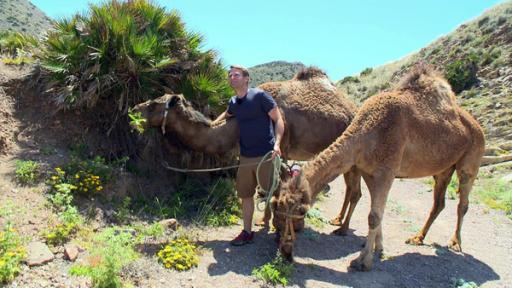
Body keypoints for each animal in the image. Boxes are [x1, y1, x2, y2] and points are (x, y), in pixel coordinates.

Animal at [133, 67, 364, 230]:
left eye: (154, 103)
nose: (134, 109)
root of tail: (354, 110)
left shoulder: (279, 150)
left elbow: (273, 187)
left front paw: (266, 222)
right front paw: (265, 221)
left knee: (356, 192)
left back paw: (343, 229)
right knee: (350, 188)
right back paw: (337, 220)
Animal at [272, 64, 484, 272]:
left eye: (302, 211)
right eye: (276, 207)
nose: (285, 250)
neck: (366, 132)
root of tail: (478, 127)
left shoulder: (386, 171)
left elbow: (374, 216)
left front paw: (362, 261)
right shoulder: (369, 171)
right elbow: (376, 212)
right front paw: (379, 249)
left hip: (471, 160)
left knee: (463, 202)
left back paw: (455, 243)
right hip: (443, 169)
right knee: (439, 203)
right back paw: (417, 238)